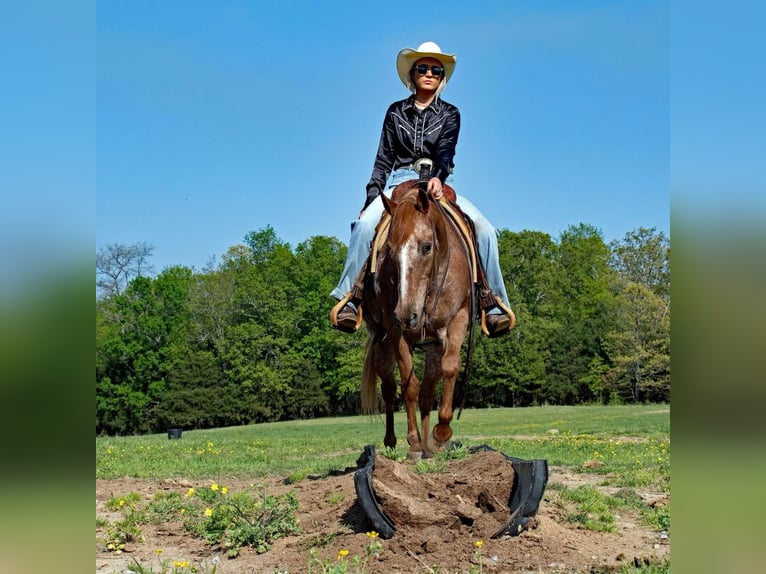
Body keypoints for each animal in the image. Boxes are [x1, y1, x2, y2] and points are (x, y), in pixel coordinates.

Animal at [360, 183, 474, 459]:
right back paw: (394, 441)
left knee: (427, 393)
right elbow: (408, 385)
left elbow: (450, 368)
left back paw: (428, 447)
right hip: (382, 343)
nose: (407, 315)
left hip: (432, 346)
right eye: (390, 250)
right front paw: (413, 443)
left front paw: (440, 434)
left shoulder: (458, 319)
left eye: (426, 247)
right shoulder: (395, 332)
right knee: (389, 387)